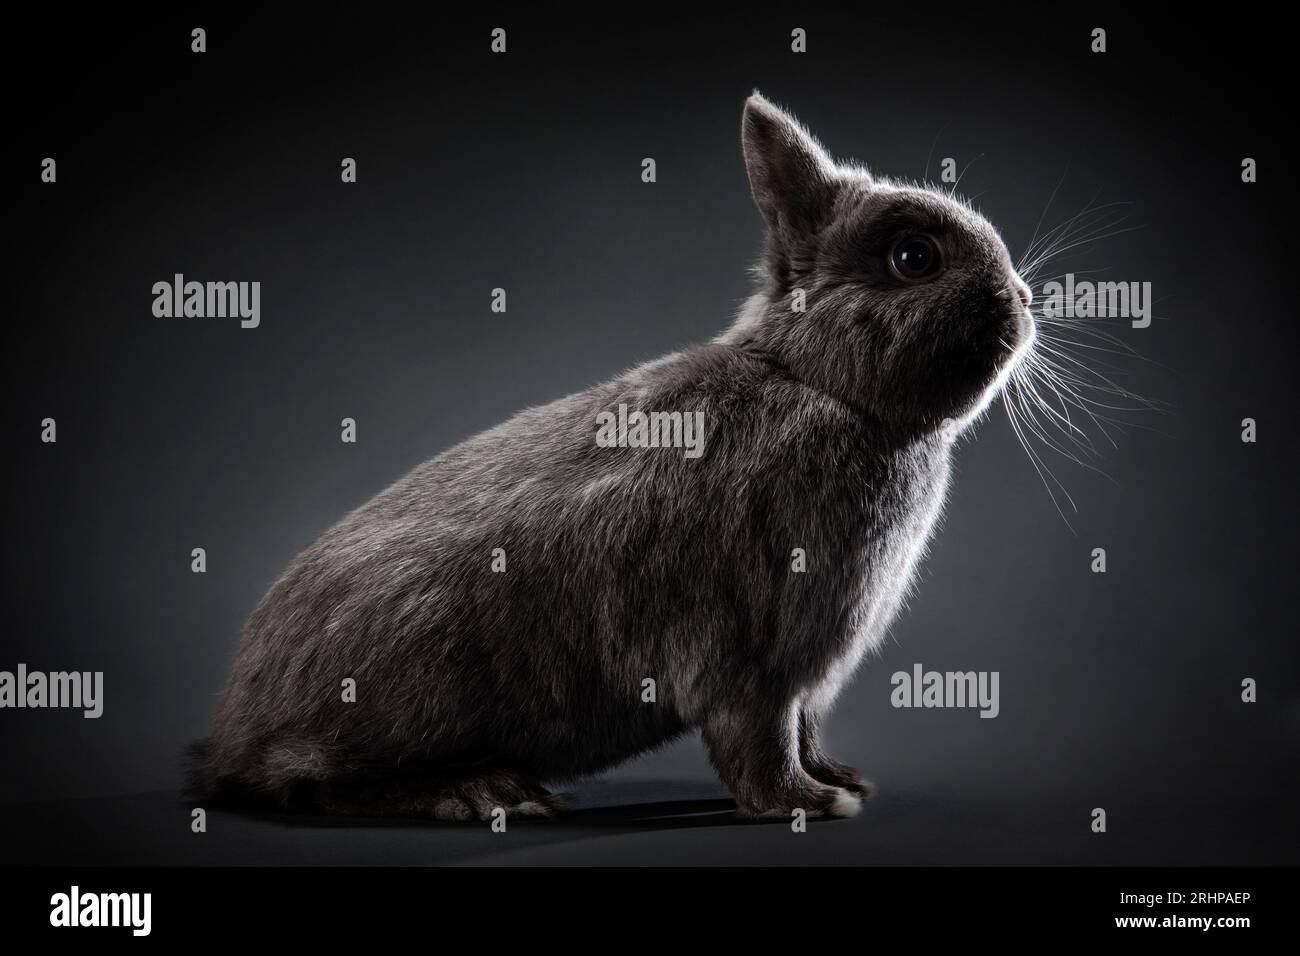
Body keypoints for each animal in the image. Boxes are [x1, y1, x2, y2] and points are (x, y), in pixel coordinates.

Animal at [188, 92, 1035, 822]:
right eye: (914, 257)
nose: (1024, 299)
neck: (814, 381)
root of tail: (232, 735)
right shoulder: (752, 652)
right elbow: (760, 738)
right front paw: (810, 804)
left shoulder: (806, 677)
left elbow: (805, 730)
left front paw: (842, 780)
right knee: (307, 780)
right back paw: (484, 793)